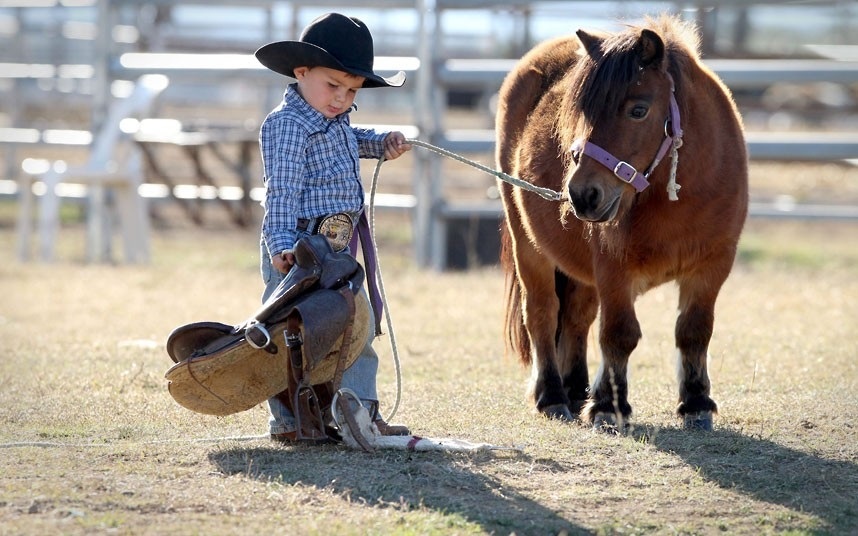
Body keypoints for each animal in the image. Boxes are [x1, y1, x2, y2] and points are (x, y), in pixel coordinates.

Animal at [498, 15, 744, 432]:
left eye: (638, 110)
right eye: (582, 112)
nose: (582, 194)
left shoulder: (713, 265)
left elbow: (694, 331)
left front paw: (696, 403)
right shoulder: (614, 269)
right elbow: (619, 334)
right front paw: (609, 407)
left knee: (577, 317)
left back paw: (575, 389)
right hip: (527, 245)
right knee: (543, 313)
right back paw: (553, 396)